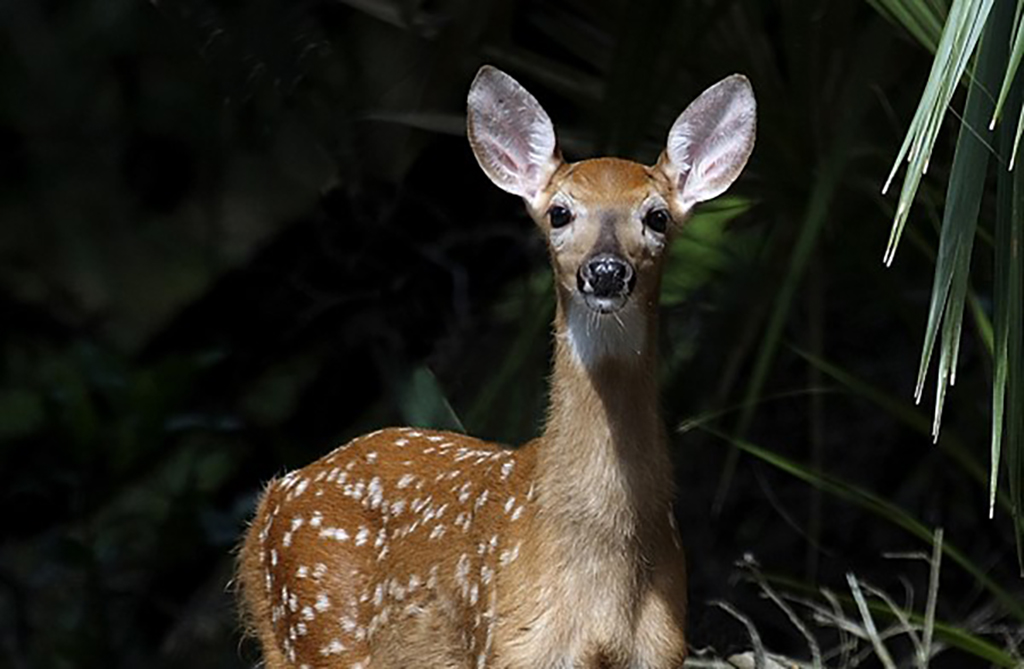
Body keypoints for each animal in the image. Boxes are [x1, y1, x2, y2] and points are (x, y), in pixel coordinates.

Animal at [235, 64, 757, 667]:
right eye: (559, 212)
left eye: (656, 217)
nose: (605, 271)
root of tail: (270, 501)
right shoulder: (509, 644)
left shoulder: (662, 649)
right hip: (320, 632)